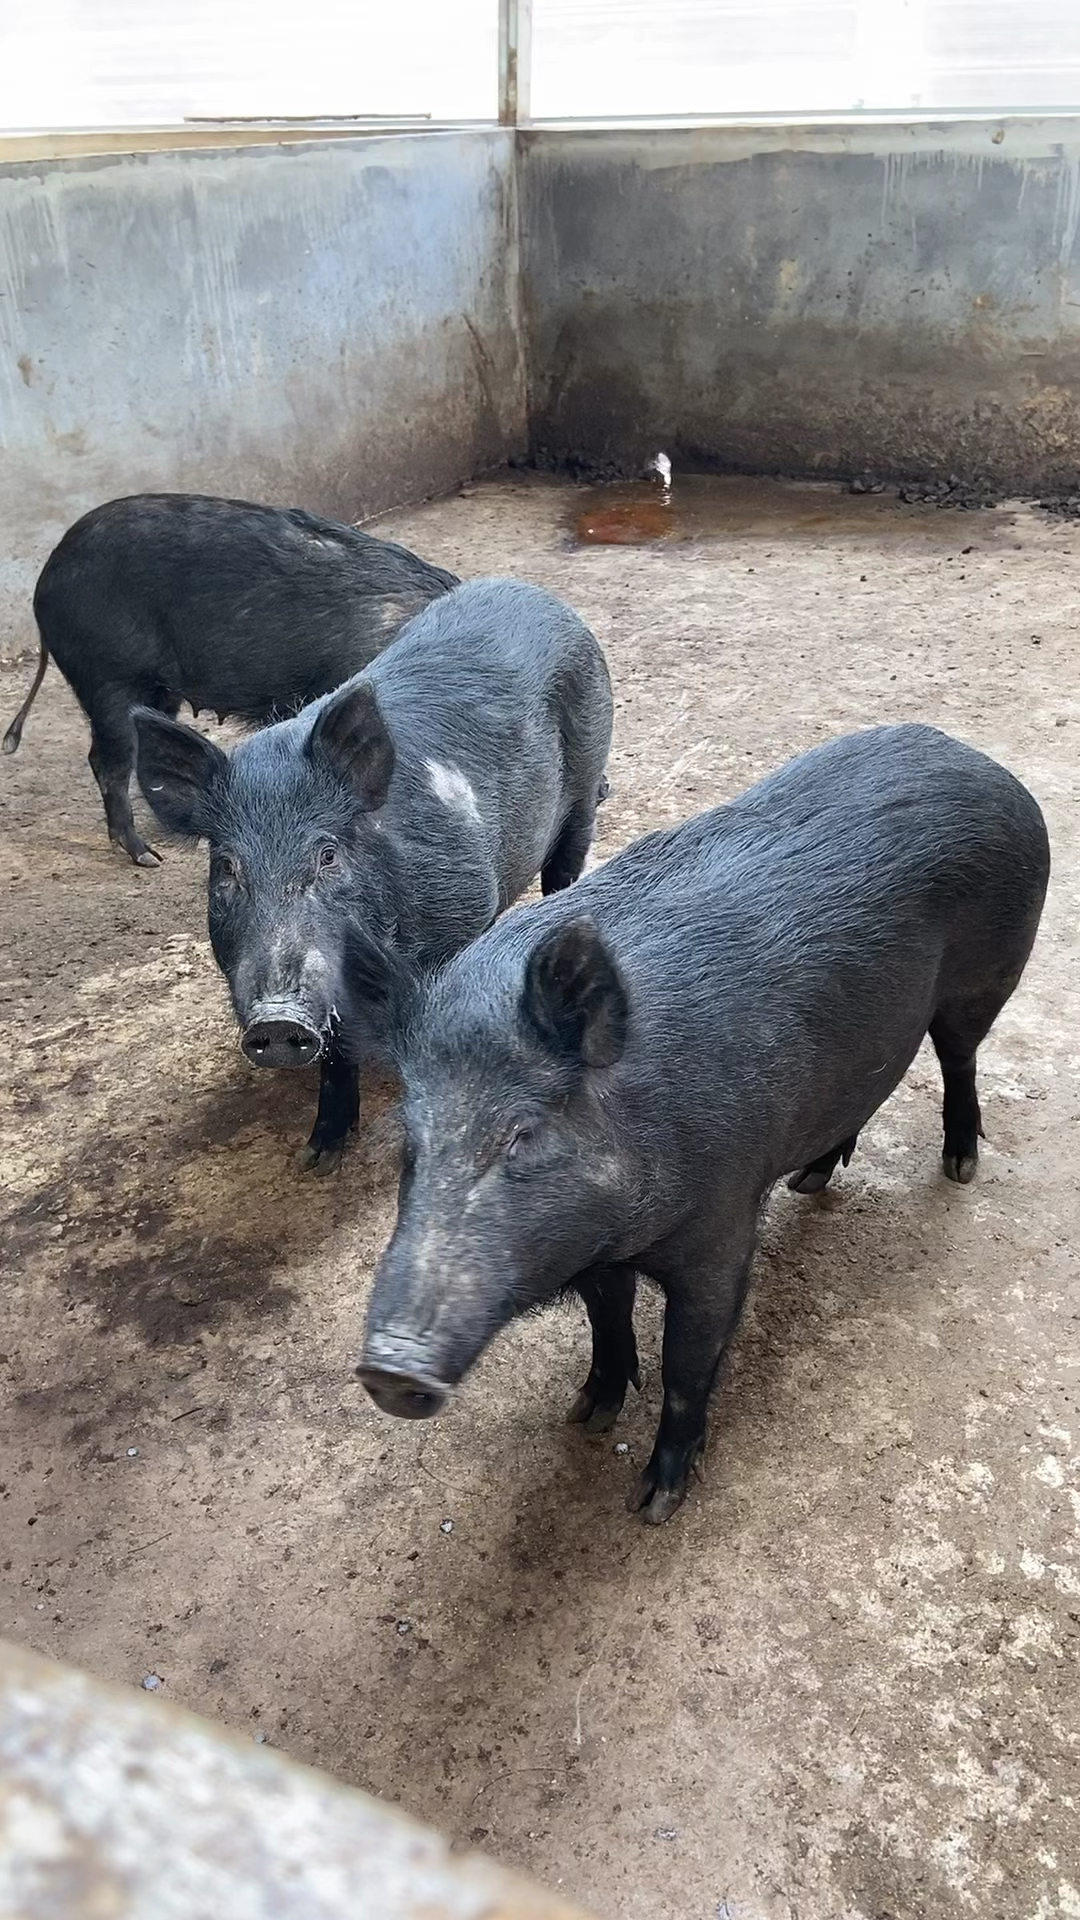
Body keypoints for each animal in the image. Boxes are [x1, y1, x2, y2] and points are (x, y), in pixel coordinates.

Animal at [132, 568, 614, 1167]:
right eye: (226, 867)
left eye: (328, 855)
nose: (277, 1019)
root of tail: (537, 593)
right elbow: (337, 1053)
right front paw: (320, 1157)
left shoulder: (461, 908)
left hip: (586, 781)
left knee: (566, 865)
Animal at [359, 725, 1045, 1520]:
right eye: (412, 1141)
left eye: (523, 1133)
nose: (388, 1367)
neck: (624, 1233)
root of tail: (975, 757)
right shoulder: (596, 1251)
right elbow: (606, 1323)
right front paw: (586, 1414)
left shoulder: (722, 1225)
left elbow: (687, 1365)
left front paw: (655, 1504)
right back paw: (812, 1179)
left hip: (988, 977)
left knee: (960, 1059)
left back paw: (960, 1167)